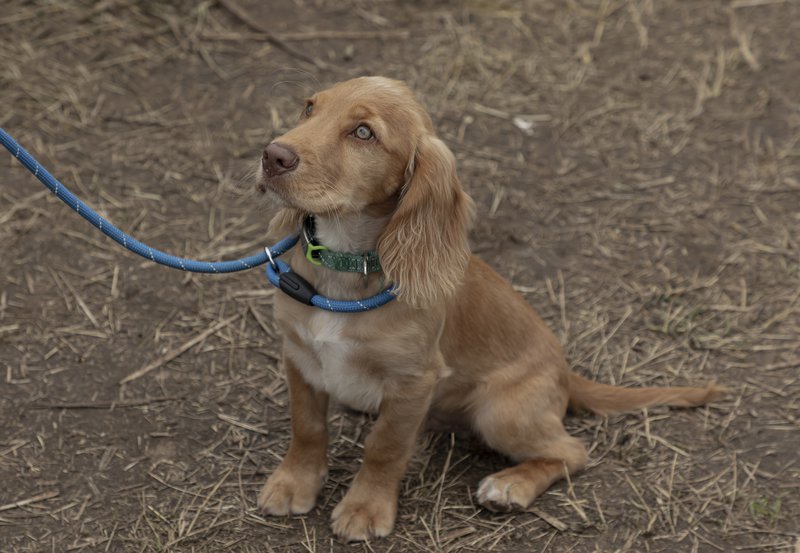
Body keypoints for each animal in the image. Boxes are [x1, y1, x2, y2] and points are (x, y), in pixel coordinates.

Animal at [258, 76, 724, 540]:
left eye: (363, 133)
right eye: (309, 108)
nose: (272, 156)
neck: (343, 264)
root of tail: (564, 370)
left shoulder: (414, 381)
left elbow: (384, 446)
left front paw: (365, 508)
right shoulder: (299, 355)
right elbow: (307, 426)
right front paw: (294, 483)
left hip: (500, 412)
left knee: (572, 451)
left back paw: (510, 485)